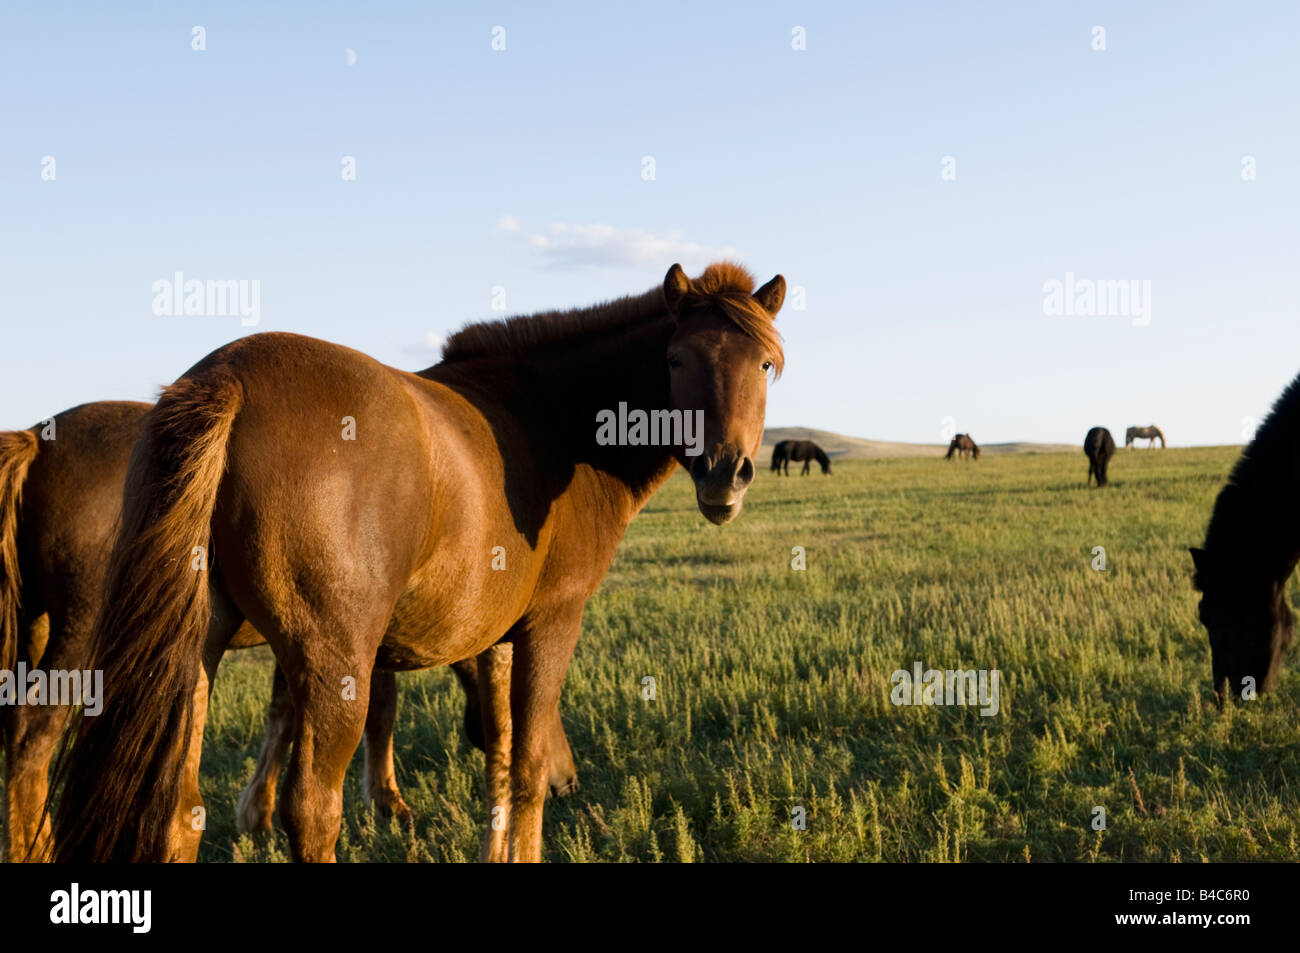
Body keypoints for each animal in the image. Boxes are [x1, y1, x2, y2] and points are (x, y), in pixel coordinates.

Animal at [0, 402, 575, 862]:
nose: (566, 781)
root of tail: (37, 442)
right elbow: (379, 711)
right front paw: (387, 803)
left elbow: (284, 714)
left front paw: (259, 811)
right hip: (80, 640)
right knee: (32, 736)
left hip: (36, 632)